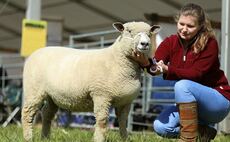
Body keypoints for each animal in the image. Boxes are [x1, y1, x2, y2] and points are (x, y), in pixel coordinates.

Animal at [21, 21, 160, 142]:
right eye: (129, 31)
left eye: (149, 34)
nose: (145, 44)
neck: (116, 60)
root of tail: (36, 52)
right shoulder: (101, 95)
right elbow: (102, 121)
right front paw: (98, 139)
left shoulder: (125, 101)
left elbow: (123, 122)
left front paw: (125, 139)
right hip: (34, 89)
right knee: (27, 113)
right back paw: (28, 138)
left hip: (52, 96)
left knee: (47, 113)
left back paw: (45, 137)